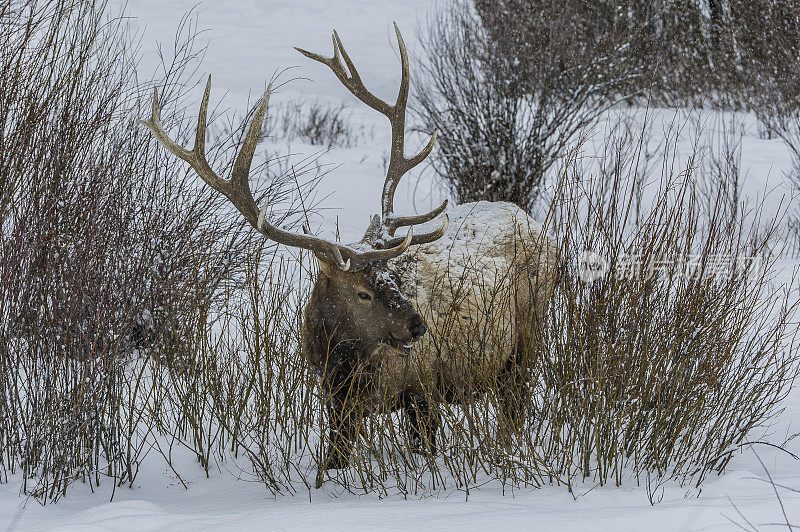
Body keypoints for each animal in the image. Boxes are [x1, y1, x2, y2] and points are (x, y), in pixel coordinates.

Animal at [141, 25, 556, 490]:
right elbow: (334, 461)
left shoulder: (423, 387)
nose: (418, 326)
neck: (346, 367)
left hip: (527, 339)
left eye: (393, 277)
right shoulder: (335, 402)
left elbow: (425, 451)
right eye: (363, 293)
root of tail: (537, 224)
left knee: (515, 407)